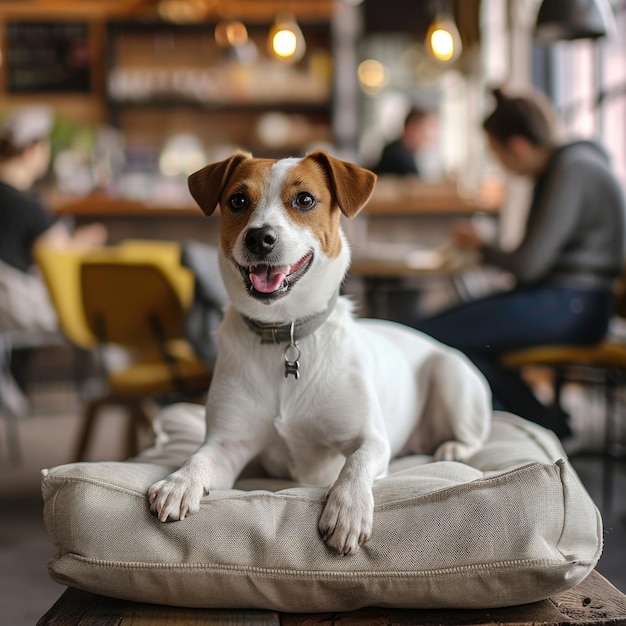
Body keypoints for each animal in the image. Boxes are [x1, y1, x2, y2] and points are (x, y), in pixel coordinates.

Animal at [149, 151, 490, 556]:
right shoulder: (228, 444)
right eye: (238, 201)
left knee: (473, 435)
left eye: (305, 200)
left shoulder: (371, 438)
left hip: (450, 373)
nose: (259, 237)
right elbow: (199, 456)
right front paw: (179, 481)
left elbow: (356, 462)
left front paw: (348, 509)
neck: (285, 331)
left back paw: (452, 448)